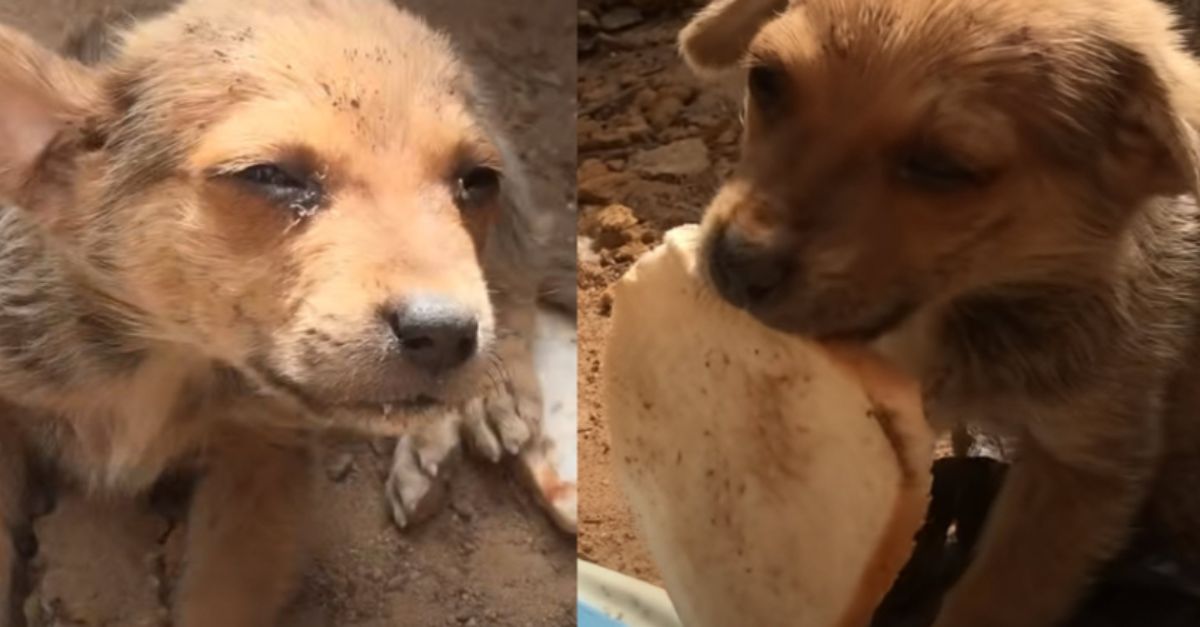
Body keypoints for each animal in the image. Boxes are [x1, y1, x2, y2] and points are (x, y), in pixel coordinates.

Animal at [0, 0, 552, 619]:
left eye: (475, 183)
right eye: (269, 175)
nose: (446, 333)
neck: (169, 356)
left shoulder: (265, 452)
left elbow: (222, 598)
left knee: (522, 258)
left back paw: (486, 404)